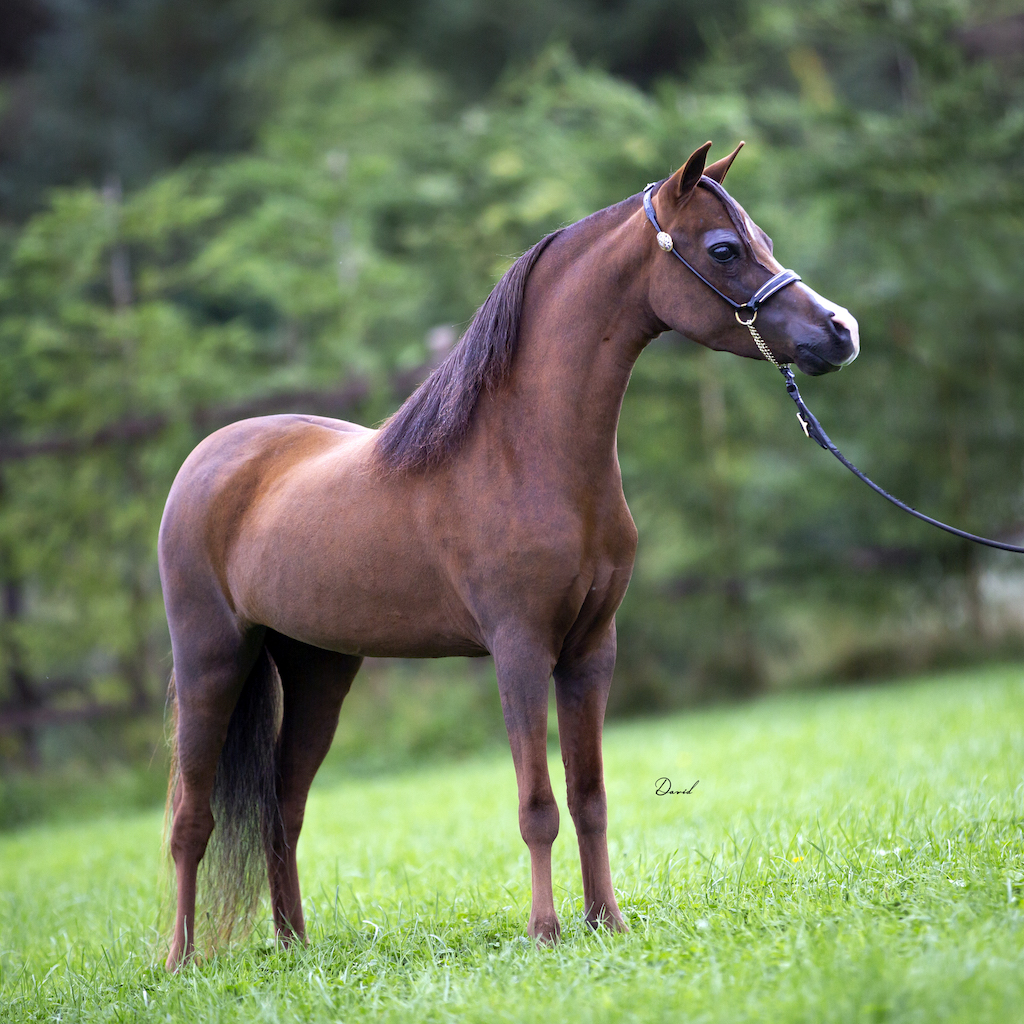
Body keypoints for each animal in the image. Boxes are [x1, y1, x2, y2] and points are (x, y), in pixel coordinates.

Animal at [159, 140, 859, 970]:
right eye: (724, 249)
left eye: (766, 243)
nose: (841, 331)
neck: (529, 453)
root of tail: (207, 456)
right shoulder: (519, 650)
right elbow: (538, 804)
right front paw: (546, 931)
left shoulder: (590, 651)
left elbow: (589, 796)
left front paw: (607, 921)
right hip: (210, 661)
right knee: (190, 818)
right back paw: (179, 962)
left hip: (318, 669)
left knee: (282, 807)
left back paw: (296, 946)